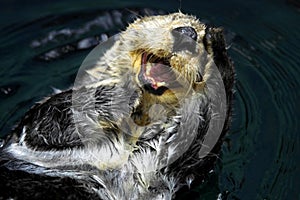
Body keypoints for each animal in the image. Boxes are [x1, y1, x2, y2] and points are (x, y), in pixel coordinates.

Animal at [0, 12, 234, 200]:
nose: (188, 32)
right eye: (174, 17)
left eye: (202, 41)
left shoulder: (159, 174)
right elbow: (50, 119)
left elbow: (199, 144)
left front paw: (216, 48)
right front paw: (122, 94)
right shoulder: (30, 131)